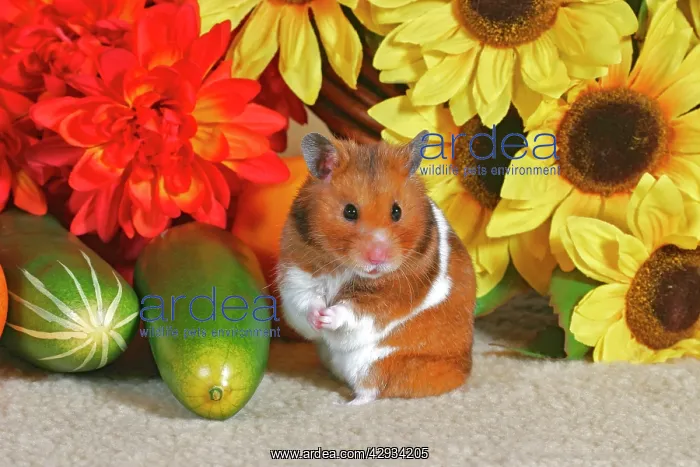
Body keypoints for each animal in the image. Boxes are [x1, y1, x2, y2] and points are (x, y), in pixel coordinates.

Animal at [276, 130, 476, 405]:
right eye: (349, 211)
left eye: (397, 211)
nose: (377, 259)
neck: (347, 268)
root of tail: (463, 370)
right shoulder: (298, 273)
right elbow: (306, 300)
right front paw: (318, 317)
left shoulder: (387, 298)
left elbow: (353, 310)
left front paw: (328, 317)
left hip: (377, 365)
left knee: (372, 391)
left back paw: (345, 404)